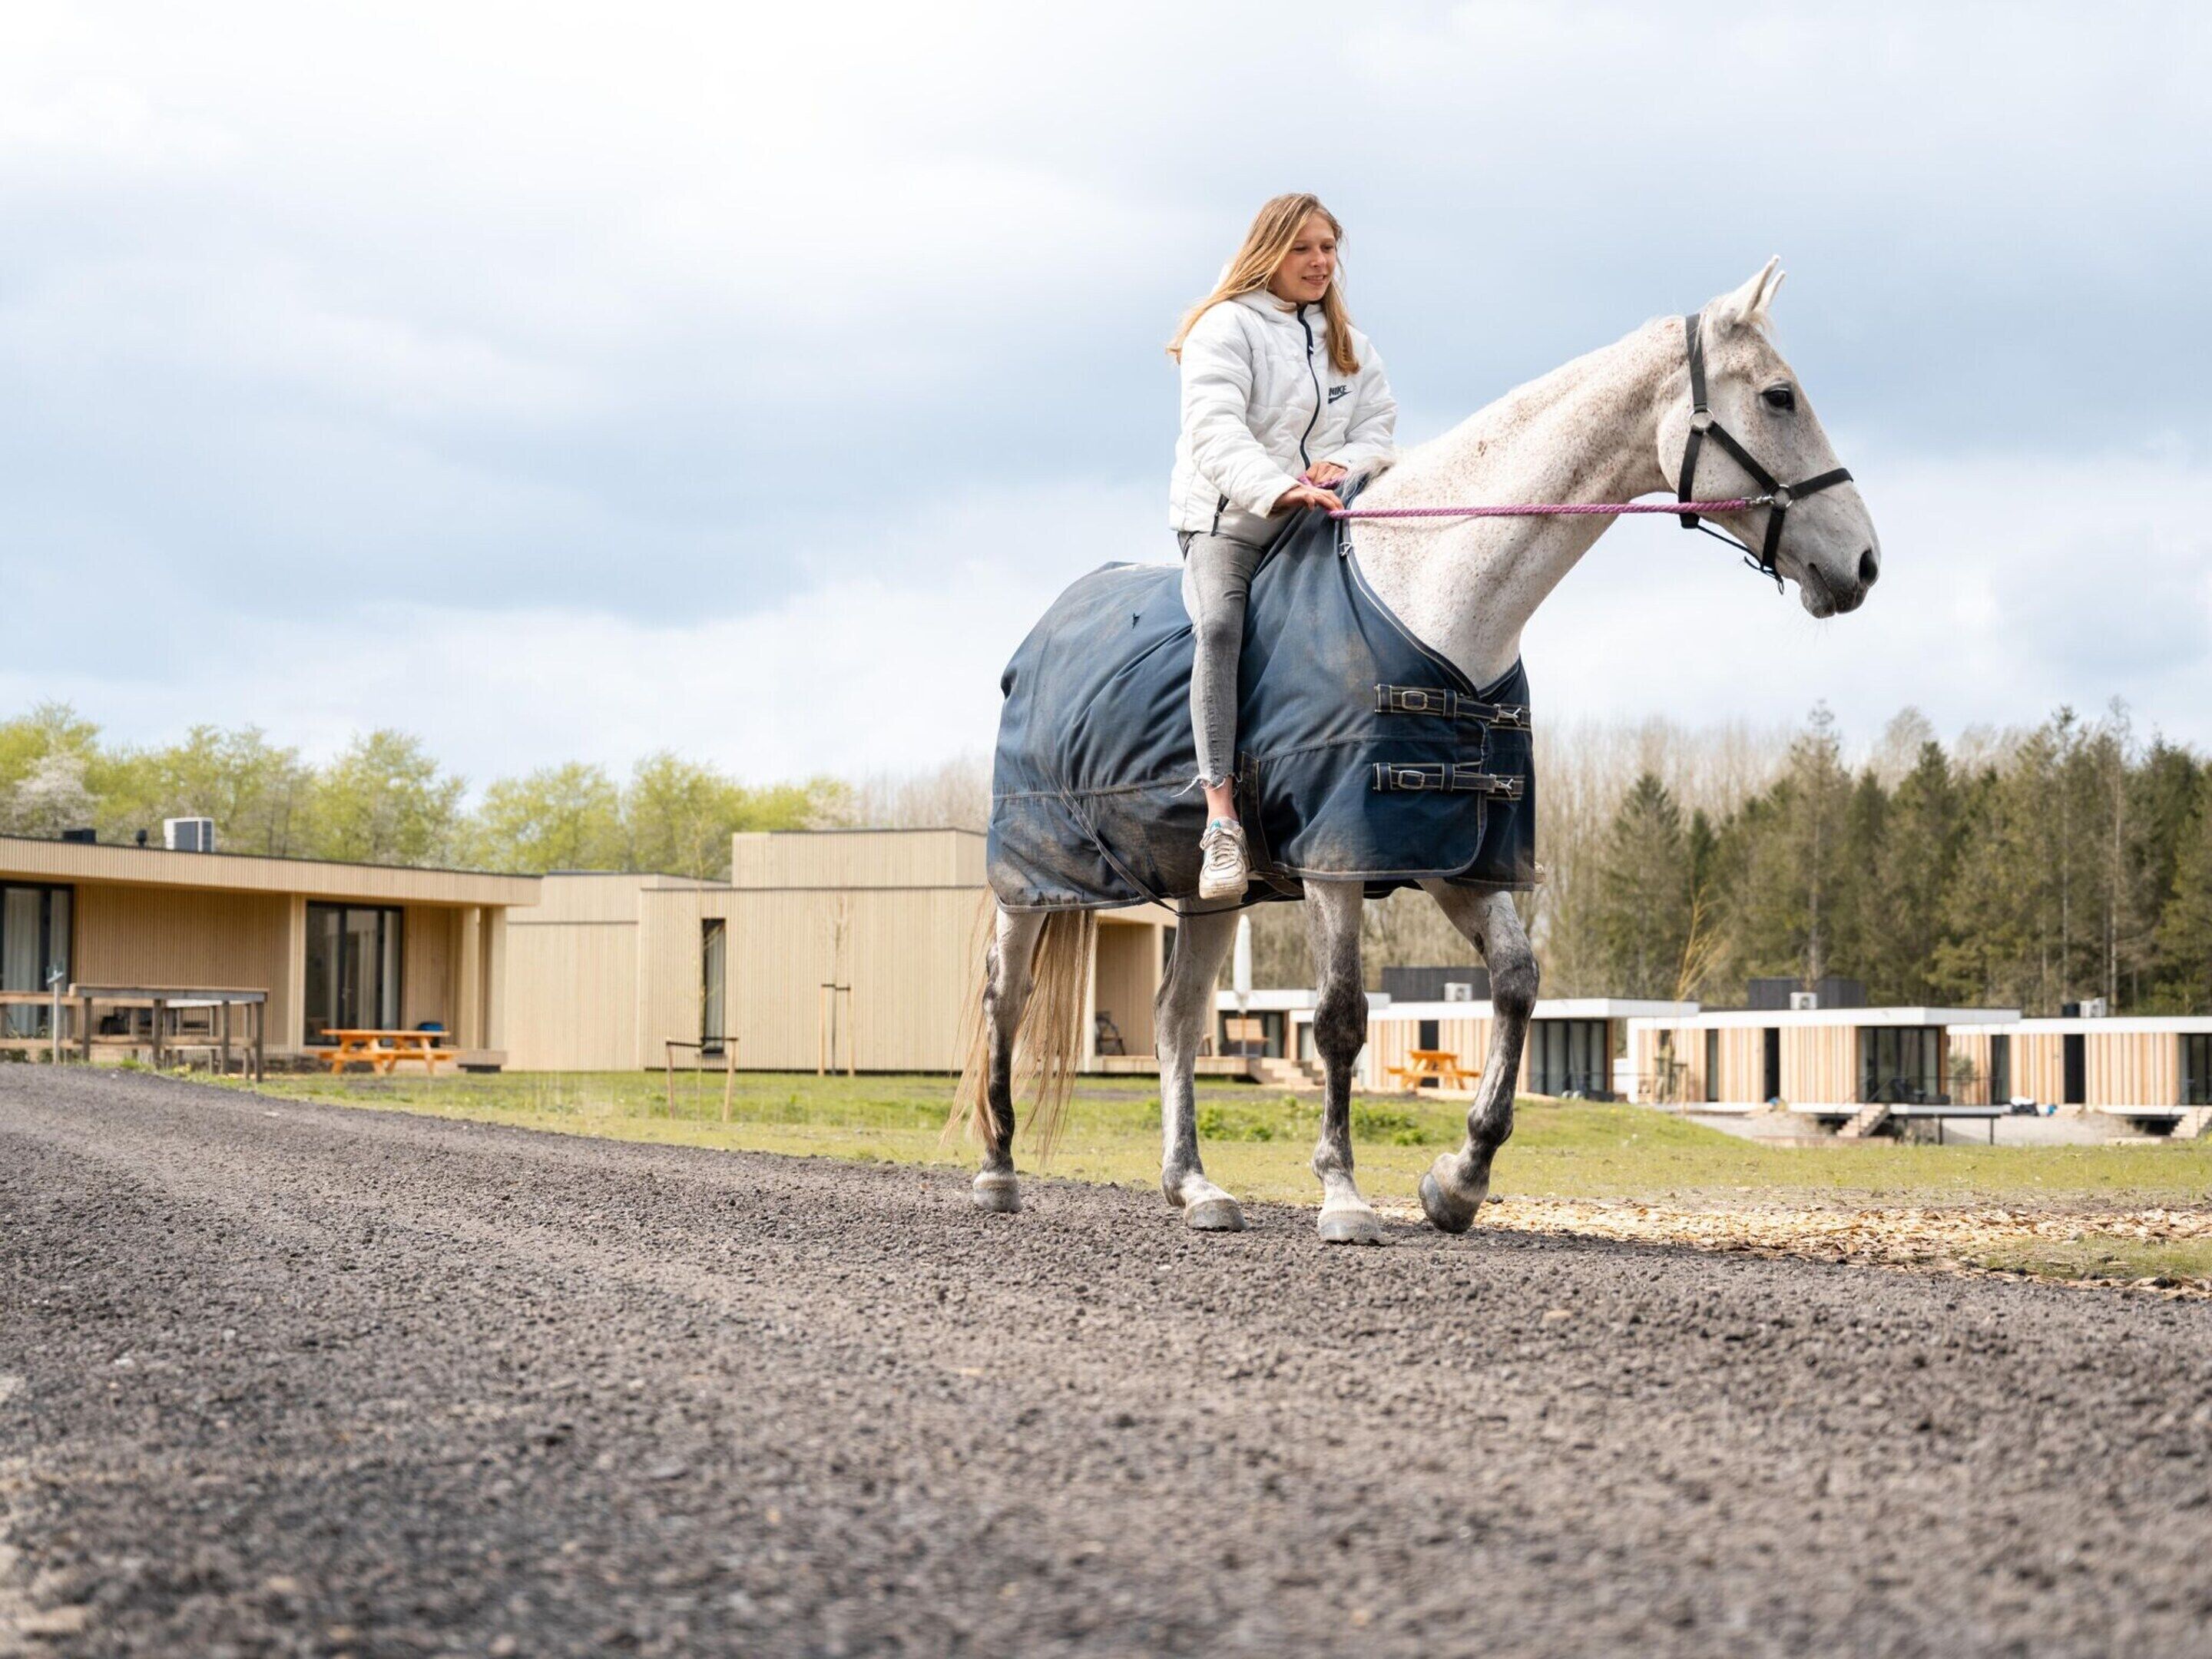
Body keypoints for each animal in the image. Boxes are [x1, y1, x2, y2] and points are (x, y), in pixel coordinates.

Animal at [955, 259, 1881, 1243]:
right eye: (1780, 396)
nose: (1863, 562)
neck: (1432, 594)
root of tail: (1040, 633)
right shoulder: (1339, 859)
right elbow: (1341, 1020)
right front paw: (1344, 1193)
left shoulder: (1456, 851)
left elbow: (1516, 983)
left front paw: (1459, 1179)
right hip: (1028, 887)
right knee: (1007, 999)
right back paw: (1000, 1170)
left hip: (1211, 896)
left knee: (1175, 1018)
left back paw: (1194, 1187)